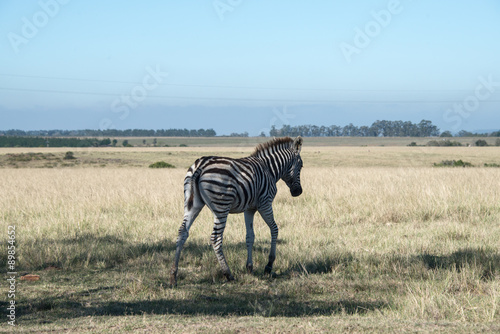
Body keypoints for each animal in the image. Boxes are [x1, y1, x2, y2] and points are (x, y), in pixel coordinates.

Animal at [171, 136, 304, 284]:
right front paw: (268, 266)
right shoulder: (265, 203)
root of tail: (200, 165)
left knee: (182, 232)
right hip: (221, 206)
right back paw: (228, 273)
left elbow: (250, 236)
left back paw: (173, 275)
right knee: (215, 238)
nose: (298, 192)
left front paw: (250, 267)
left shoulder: (249, 209)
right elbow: (274, 229)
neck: (269, 169)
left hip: (192, 204)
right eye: (301, 166)